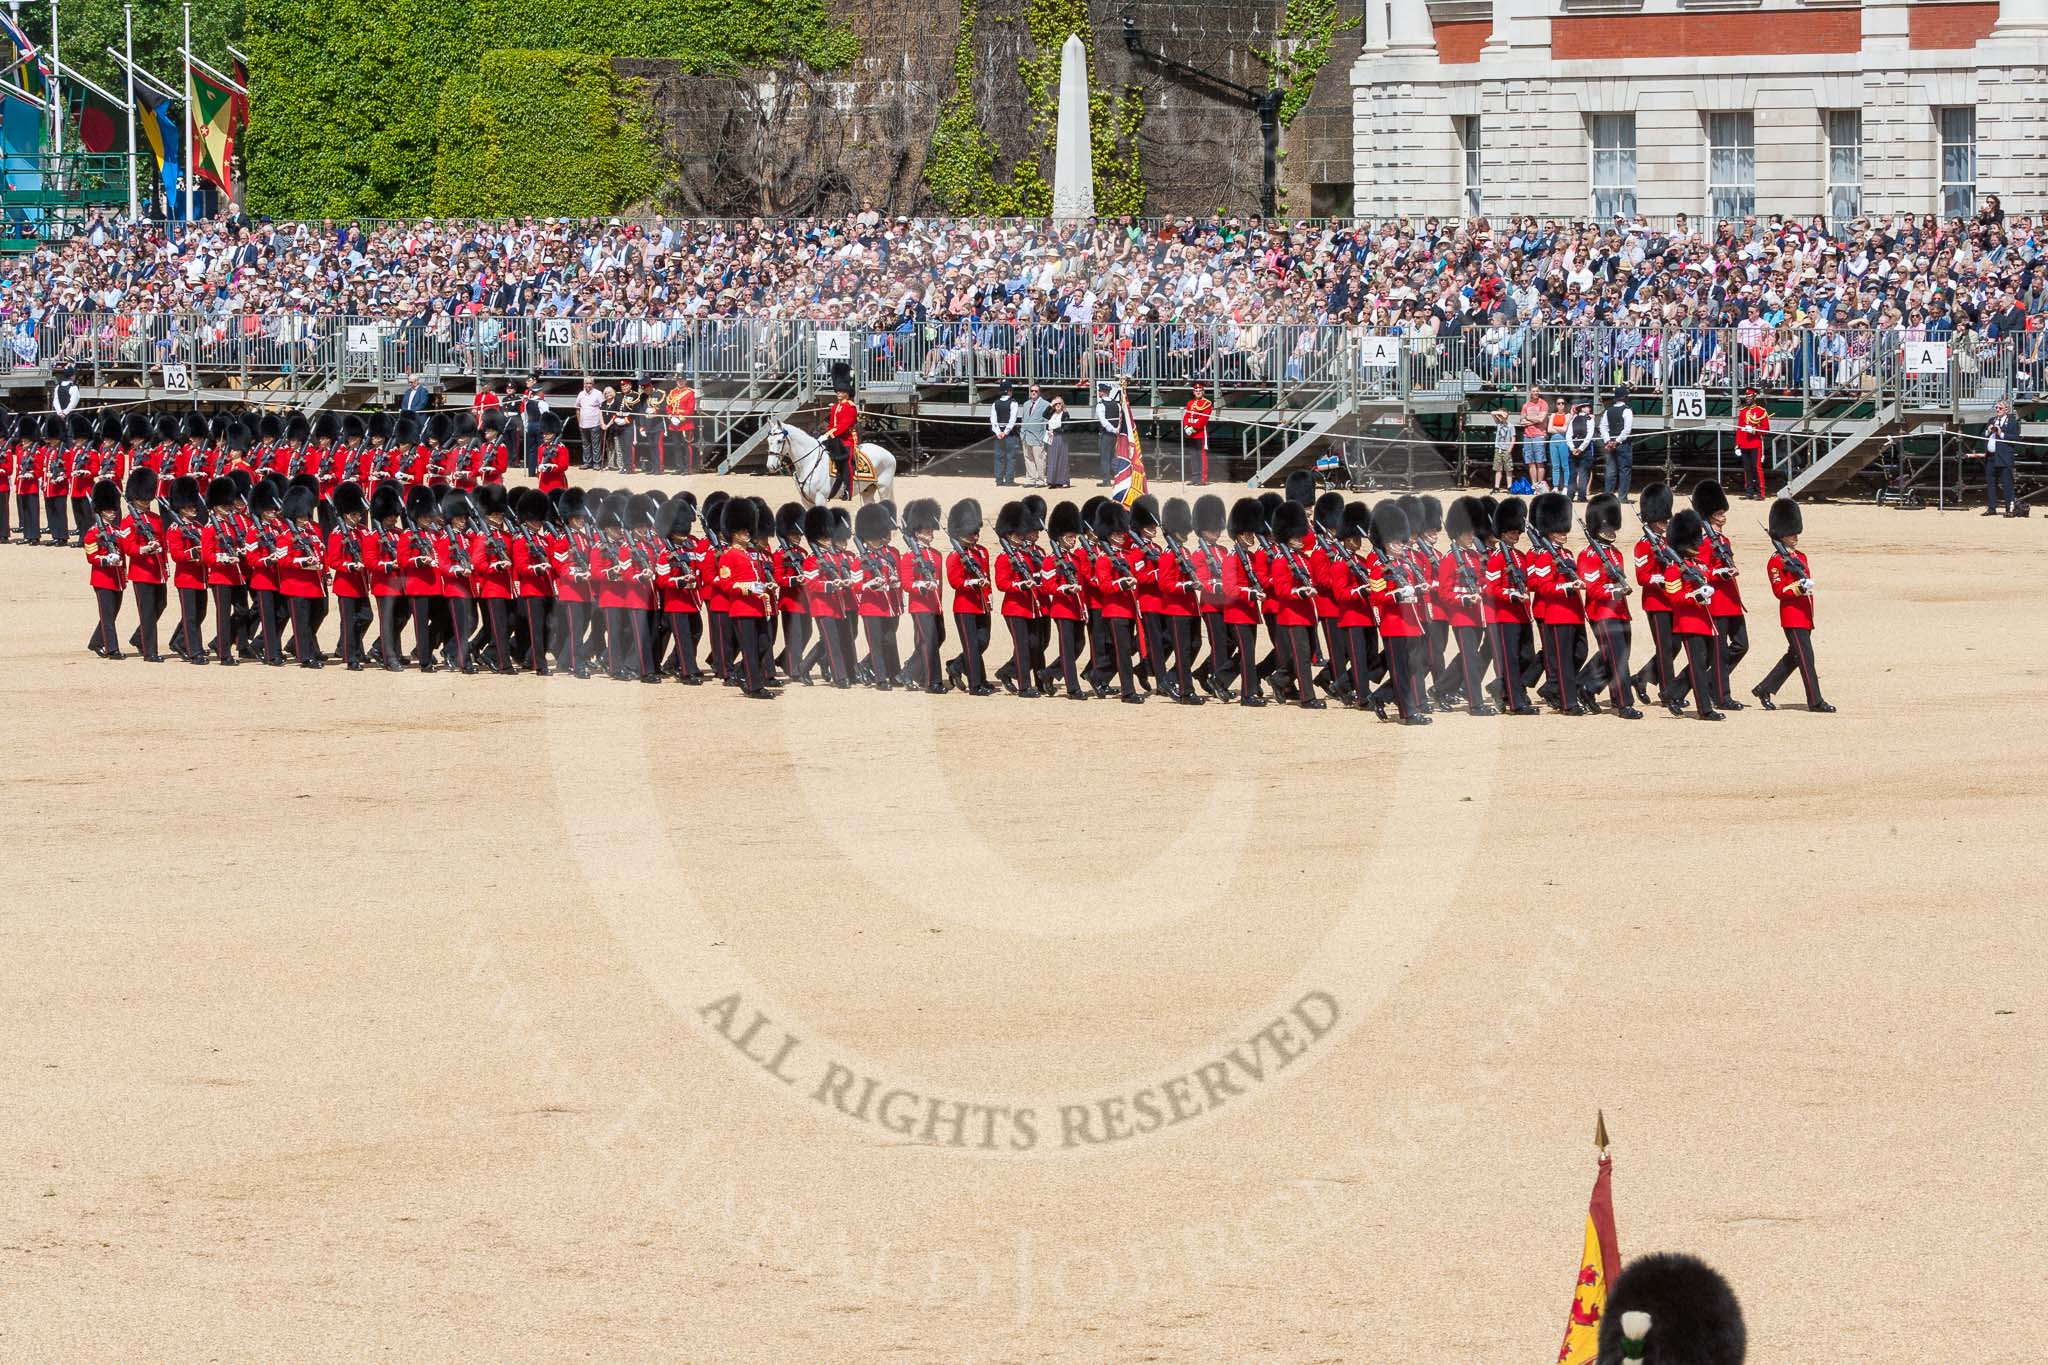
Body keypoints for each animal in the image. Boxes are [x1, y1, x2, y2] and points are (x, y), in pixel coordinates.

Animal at [761, 421, 897, 507]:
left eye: (779, 441)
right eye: (768, 440)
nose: (770, 466)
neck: (810, 462)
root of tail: (889, 454)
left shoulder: (820, 498)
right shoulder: (806, 501)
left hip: (884, 488)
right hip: (867, 490)